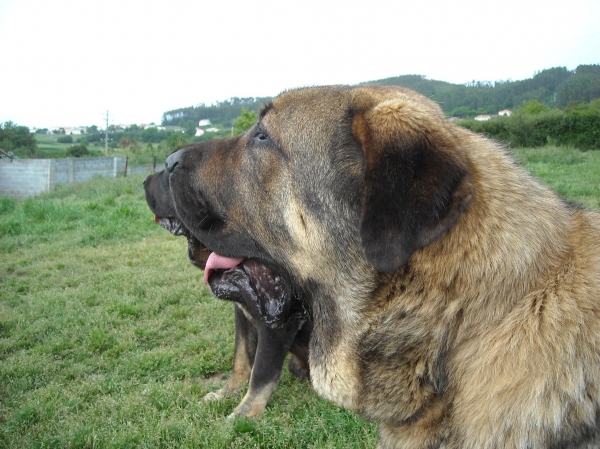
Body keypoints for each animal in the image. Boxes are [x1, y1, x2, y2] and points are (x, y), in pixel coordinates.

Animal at [144, 168, 310, 416]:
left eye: (168, 173)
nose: (144, 181)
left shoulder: (279, 320)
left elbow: (261, 371)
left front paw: (245, 413)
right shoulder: (242, 313)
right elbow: (240, 359)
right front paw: (227, 393)